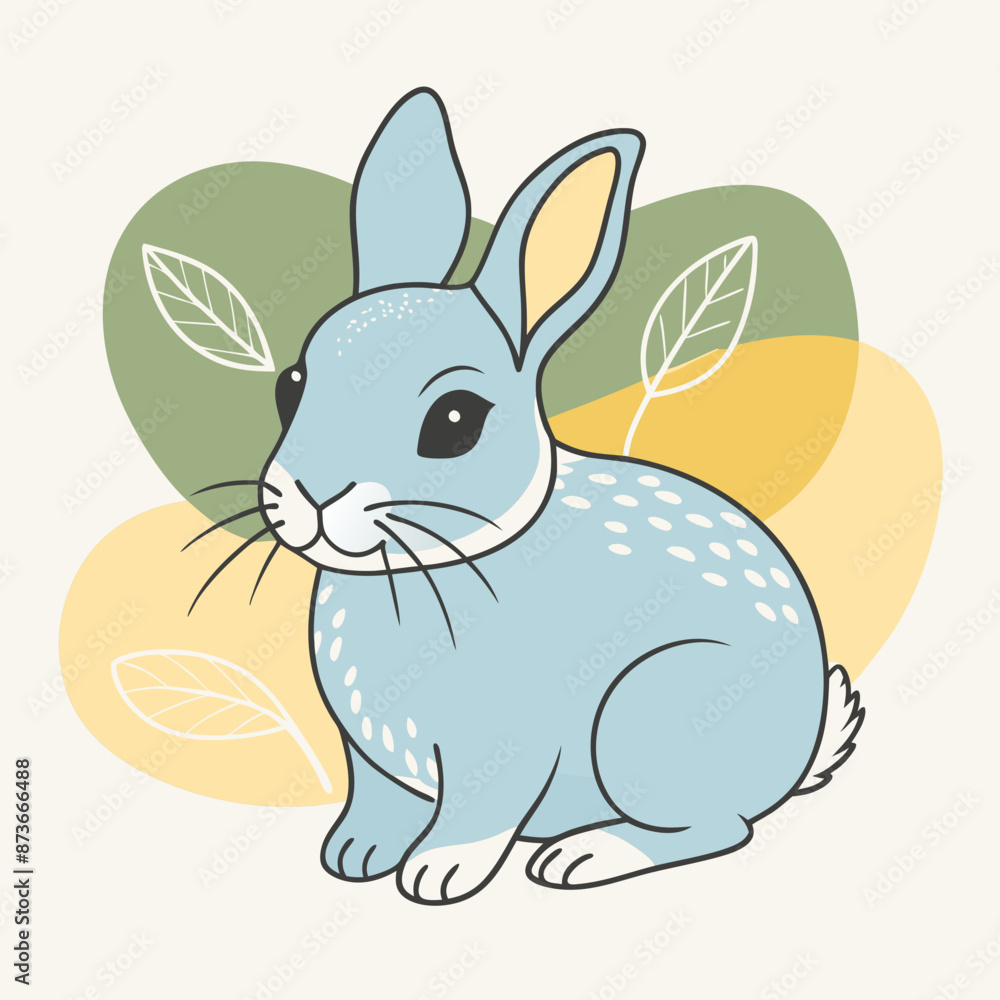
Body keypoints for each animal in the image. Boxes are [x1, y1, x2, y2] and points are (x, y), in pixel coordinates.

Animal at [257, 87, 864, 904]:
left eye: (455, 421)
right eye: (291, 386)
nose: (314, 496)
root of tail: (797, 753)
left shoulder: (505, 749)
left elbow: (477, 814)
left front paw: (436, 875)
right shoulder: (372, 759)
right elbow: (379, 799)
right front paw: (354, 854)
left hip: (649, 718)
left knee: (718, 828)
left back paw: (583, 857)